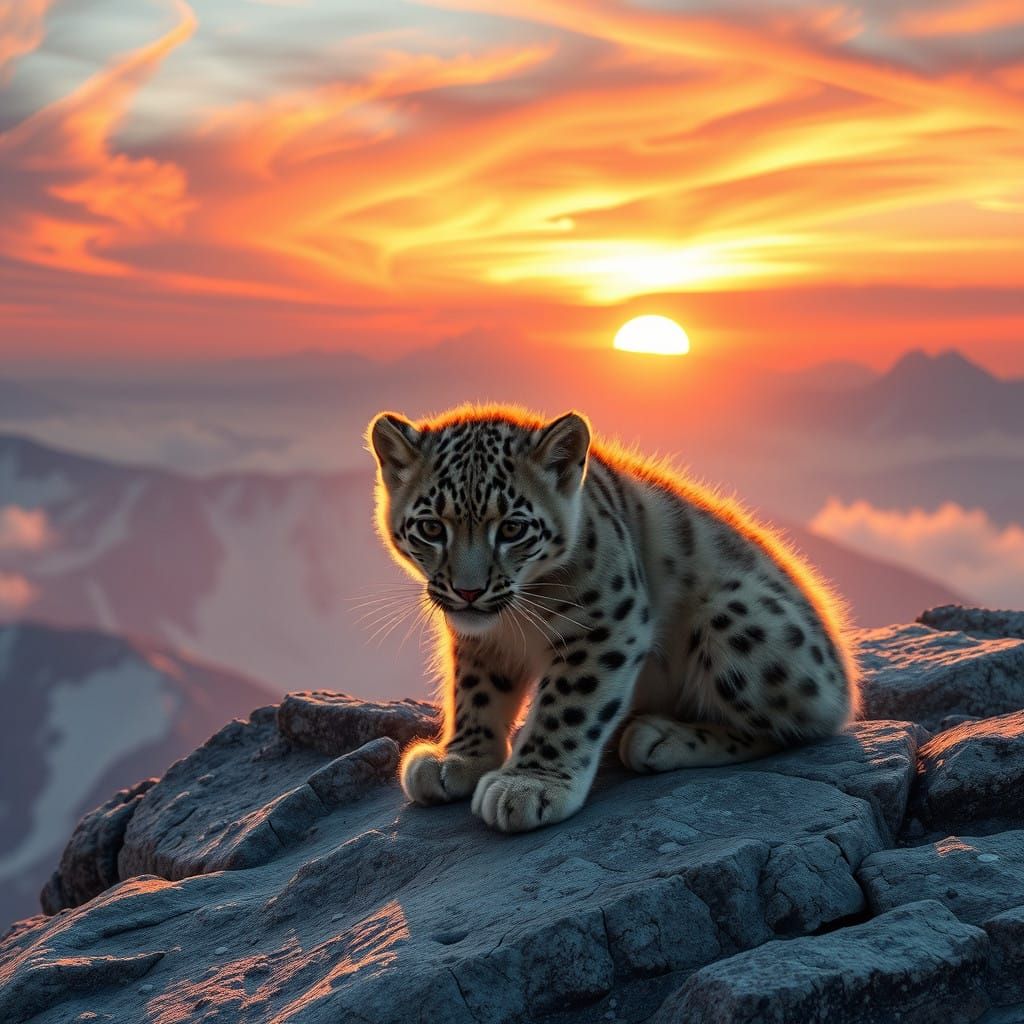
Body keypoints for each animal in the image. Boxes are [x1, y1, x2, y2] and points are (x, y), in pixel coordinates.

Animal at [367, 404, 858, 834]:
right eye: (432, 527)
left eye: (512, 528)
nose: (468, 592)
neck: (513, 622)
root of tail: (842, 674)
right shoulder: (480, 643)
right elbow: (475, 692)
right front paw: (459, 758)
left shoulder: (602, 624)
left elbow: (567, 705)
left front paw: (528, 786)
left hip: (737, 623)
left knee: (795, 726)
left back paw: (656, 738)